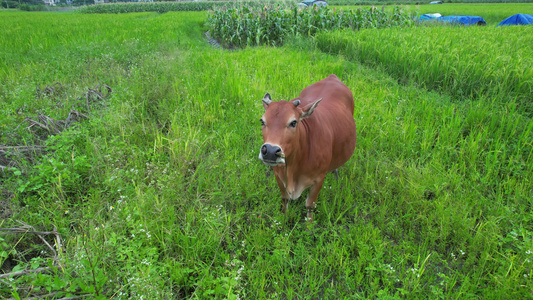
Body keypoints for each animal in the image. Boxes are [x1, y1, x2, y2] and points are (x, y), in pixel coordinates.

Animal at [258, 74, 356, 221]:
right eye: (262, 121)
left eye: (293, 122)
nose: (269, 151)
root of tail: (332, 77)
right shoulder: (278, 175)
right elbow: (284, 199)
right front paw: (284, 218)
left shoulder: (319, 179)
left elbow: (310, 205)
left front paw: (310, 224)